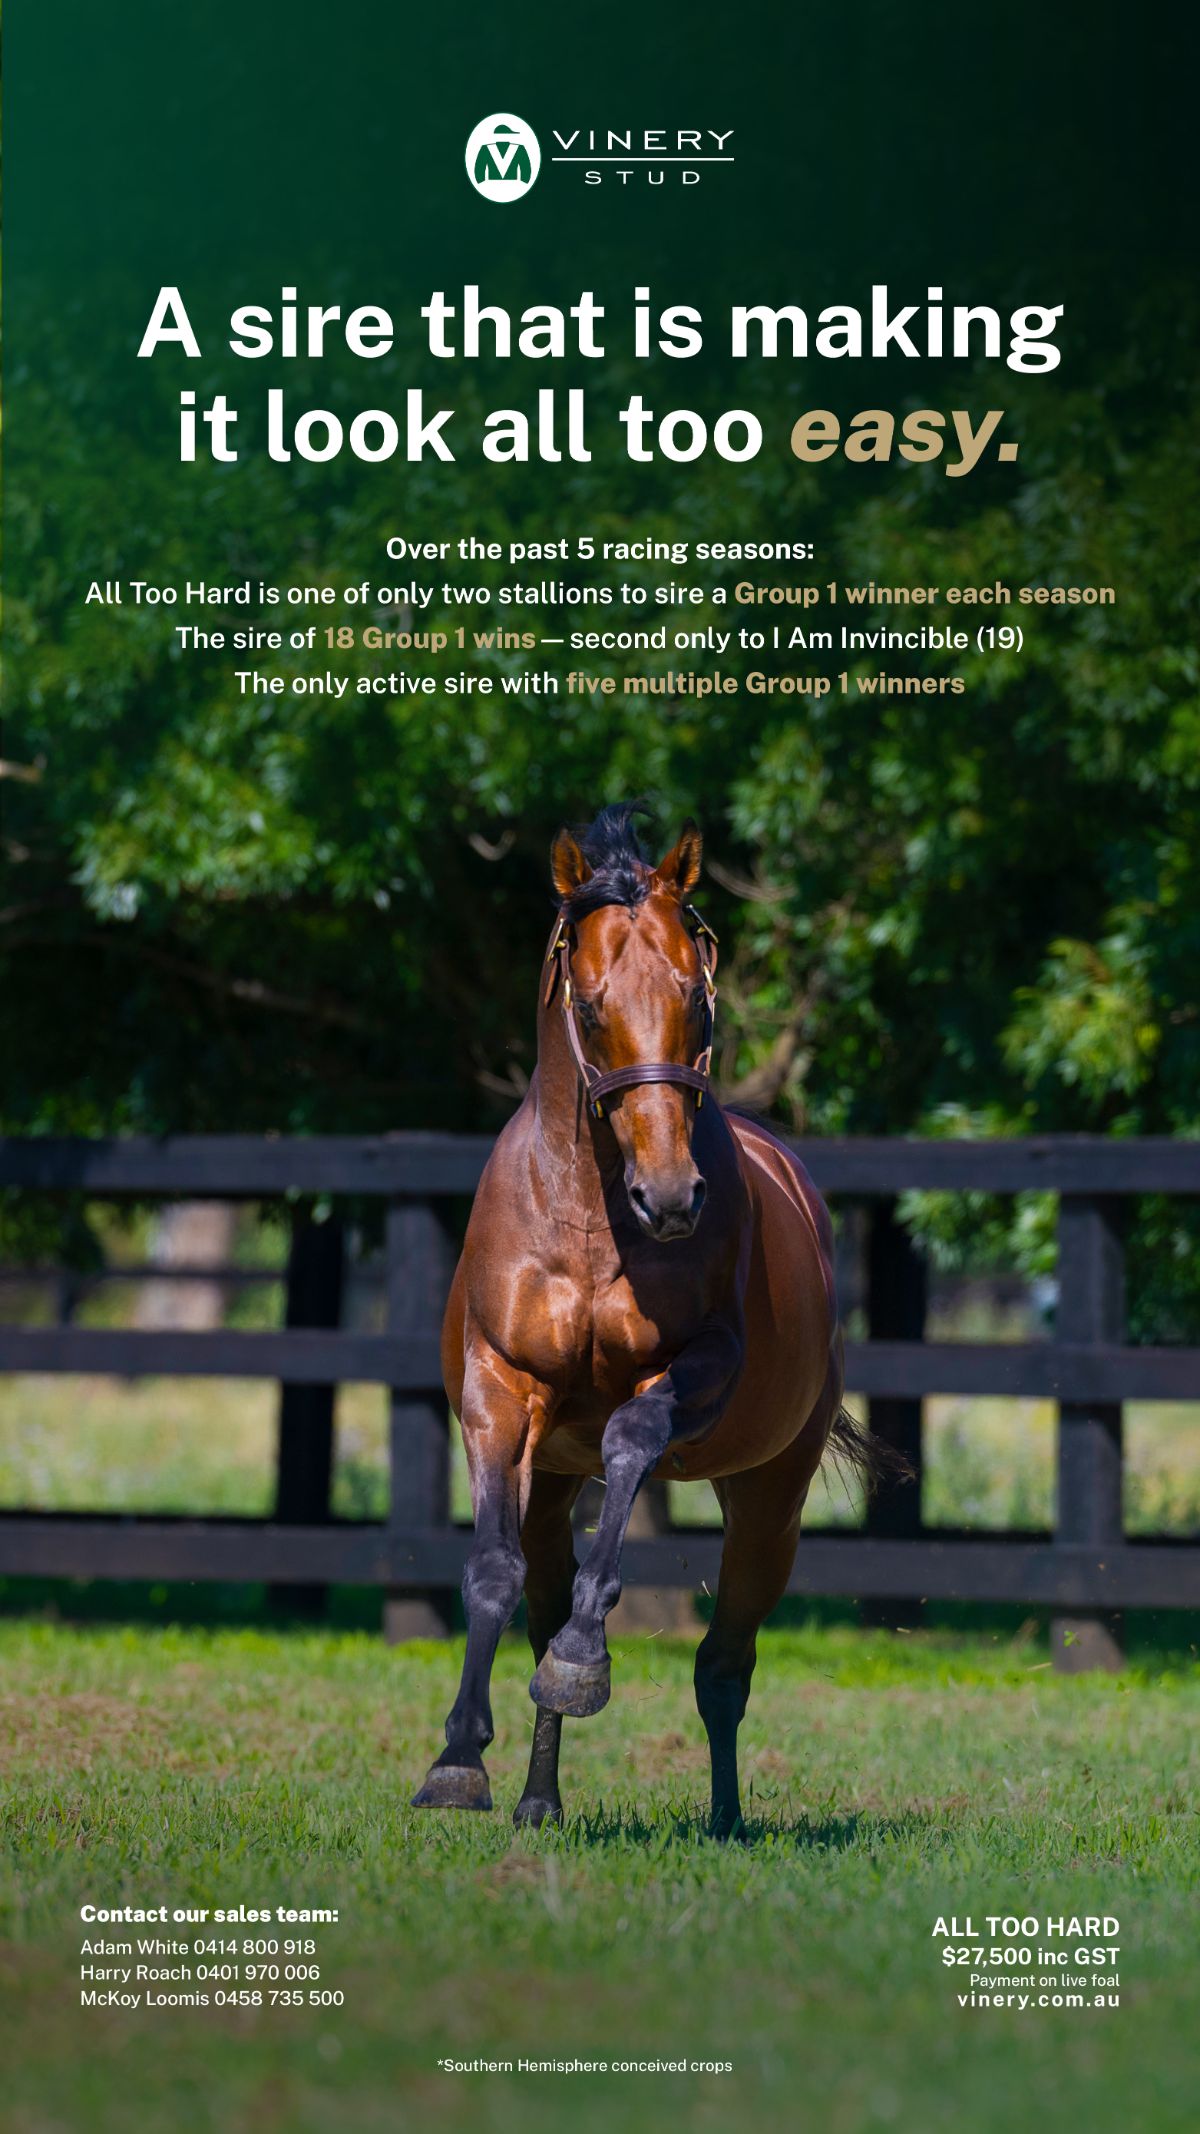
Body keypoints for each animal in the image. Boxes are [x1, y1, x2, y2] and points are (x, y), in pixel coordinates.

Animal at [413, 802, 878, 1837]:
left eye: (696, 998)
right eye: (589, 1007)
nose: (671, 1198)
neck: (590, 1217)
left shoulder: (699, 1371)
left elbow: (630, 1439)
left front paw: (588, 1658)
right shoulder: (497, 1391)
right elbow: (492, 1573)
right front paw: (459, 1761)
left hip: (770, 1498)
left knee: (724, 1663)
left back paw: (725, 1818)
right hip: (551, 1478)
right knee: (542, 1605)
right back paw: (539, 1801)